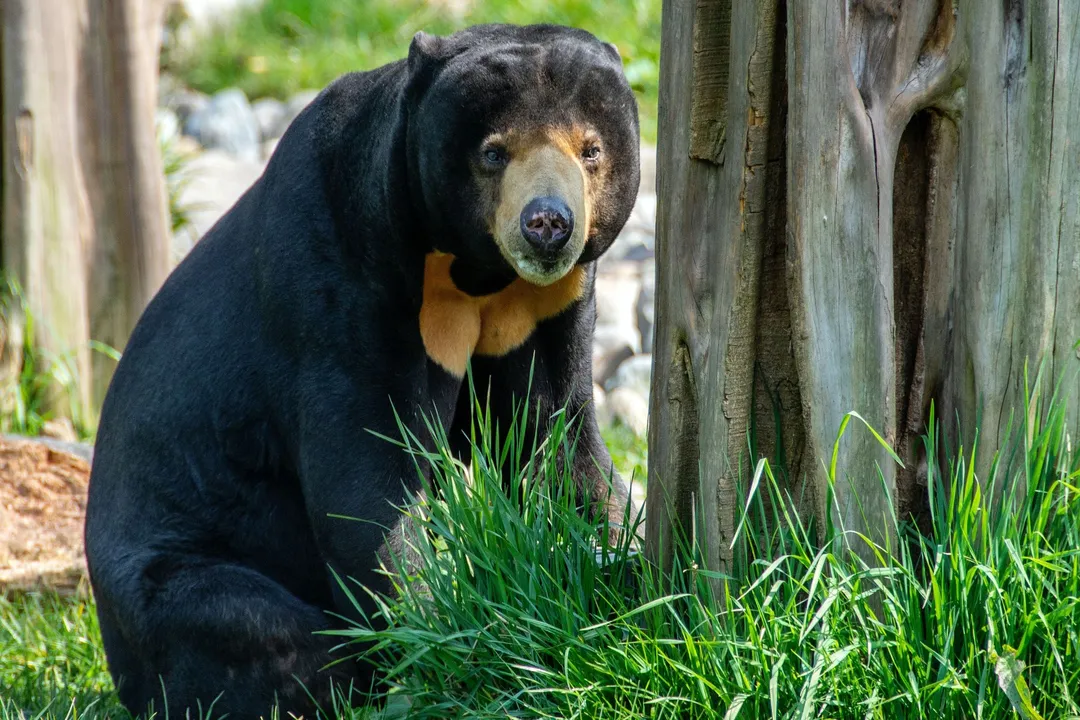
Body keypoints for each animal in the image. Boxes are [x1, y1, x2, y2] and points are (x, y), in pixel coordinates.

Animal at [84, 23, 641, 719]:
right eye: (493, 153)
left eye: (591, 150)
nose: (547, 225)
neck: (472, 274)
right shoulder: (338, 285)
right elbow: (365, 484)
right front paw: (450, 629)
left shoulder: (545, 310)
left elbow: (556, 440)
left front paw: (617, 564)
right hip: (170, 574)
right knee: (261, 633)